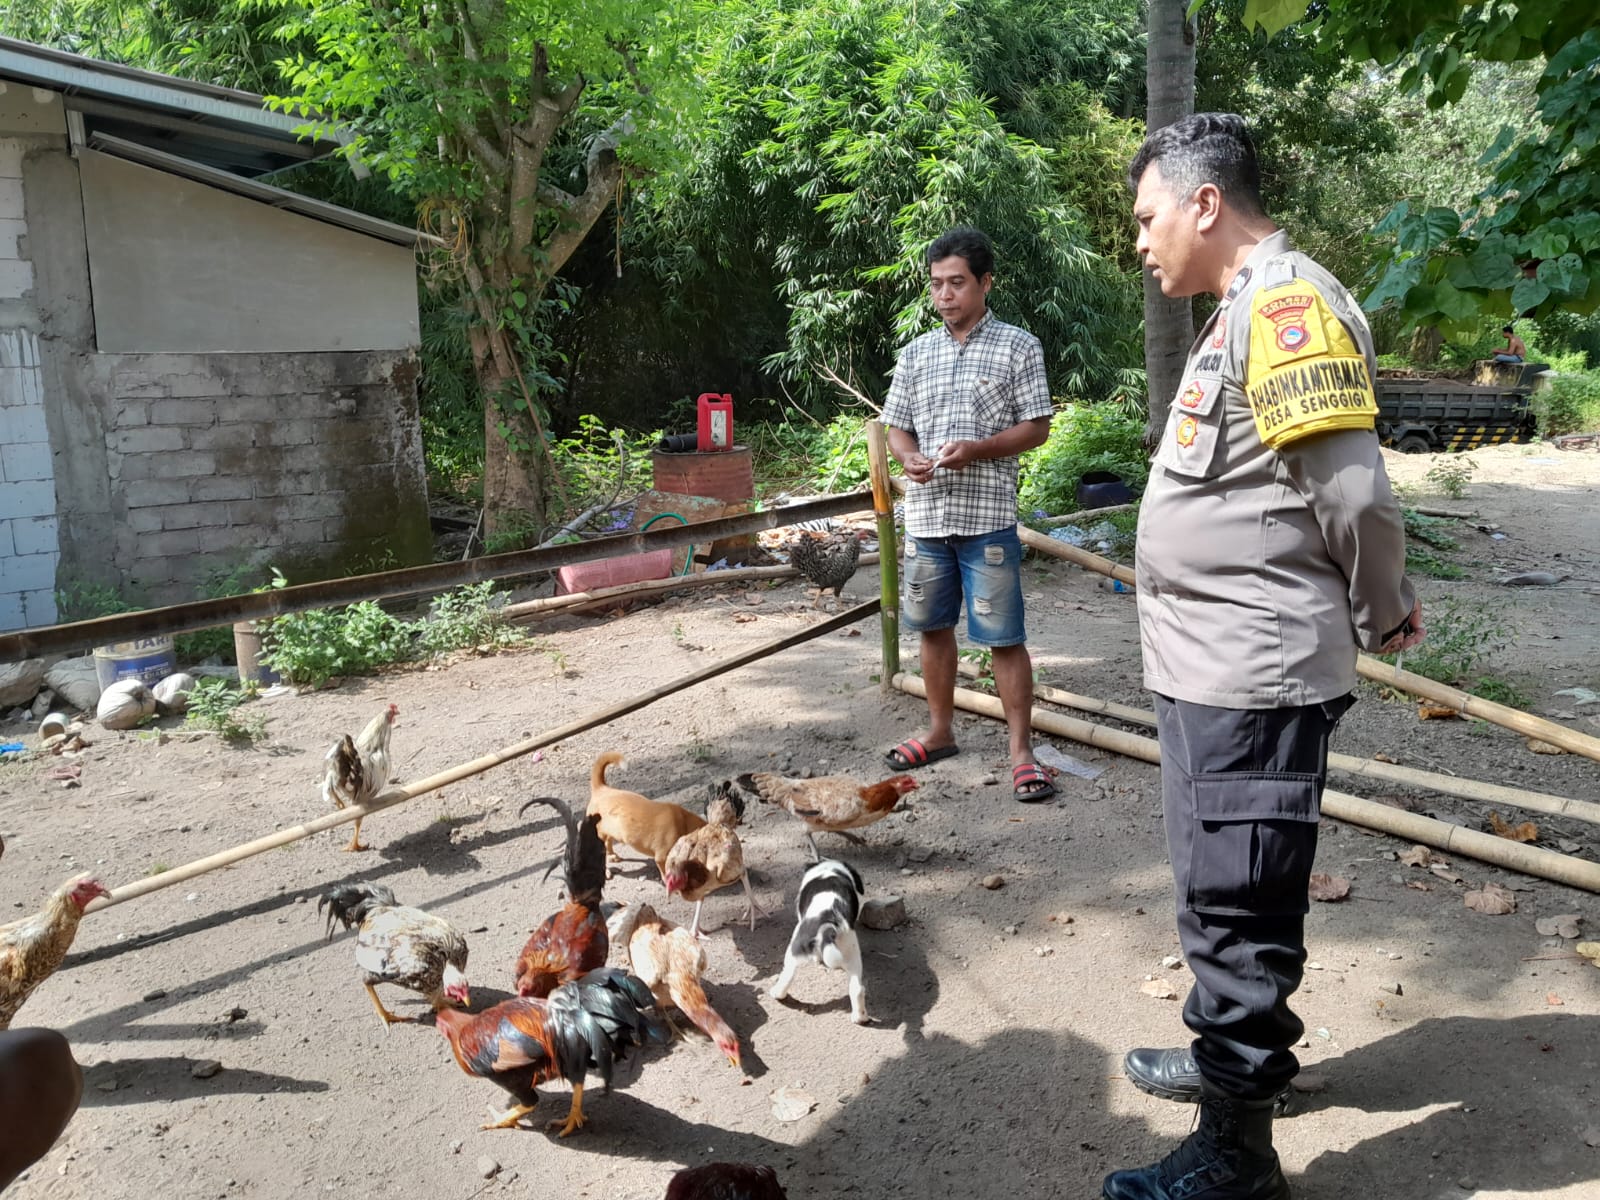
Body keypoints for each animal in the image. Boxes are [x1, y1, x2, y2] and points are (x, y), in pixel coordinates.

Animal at [768, 864, 870, 1024]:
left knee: (788, 975)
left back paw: (777, 993)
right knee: (857, 989)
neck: (831, 868)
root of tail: (831, 918)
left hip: (794, 948)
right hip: (851, 952)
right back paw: (860, 1017)